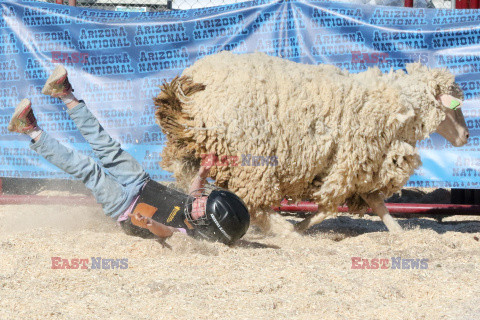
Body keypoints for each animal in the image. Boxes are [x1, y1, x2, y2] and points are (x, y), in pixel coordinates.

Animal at [155, 52, 468, 232]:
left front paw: (401, 236)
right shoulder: (350, 164)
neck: (396, 106)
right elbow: (329, 208)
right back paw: (279, 228)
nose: (466, 136)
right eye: (454, 107)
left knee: (193, 174)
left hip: (203, 144)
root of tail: (192, 85)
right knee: (255, 203)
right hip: (252, 158)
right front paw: (300, 228)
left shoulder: (362, 168)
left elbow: (377, 206)